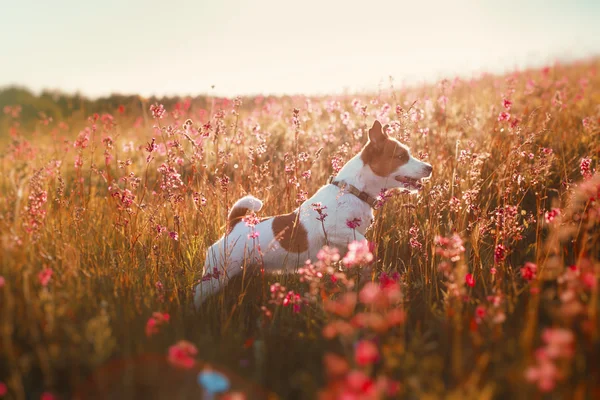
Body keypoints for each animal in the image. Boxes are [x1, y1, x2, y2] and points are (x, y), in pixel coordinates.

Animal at [195, 119, 434, 310]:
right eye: (401, 156)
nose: (430, 167)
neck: (352, 190)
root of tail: (234, 225)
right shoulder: (334, 229)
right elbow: (365, 242)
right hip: (217, 275)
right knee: (197, 293)